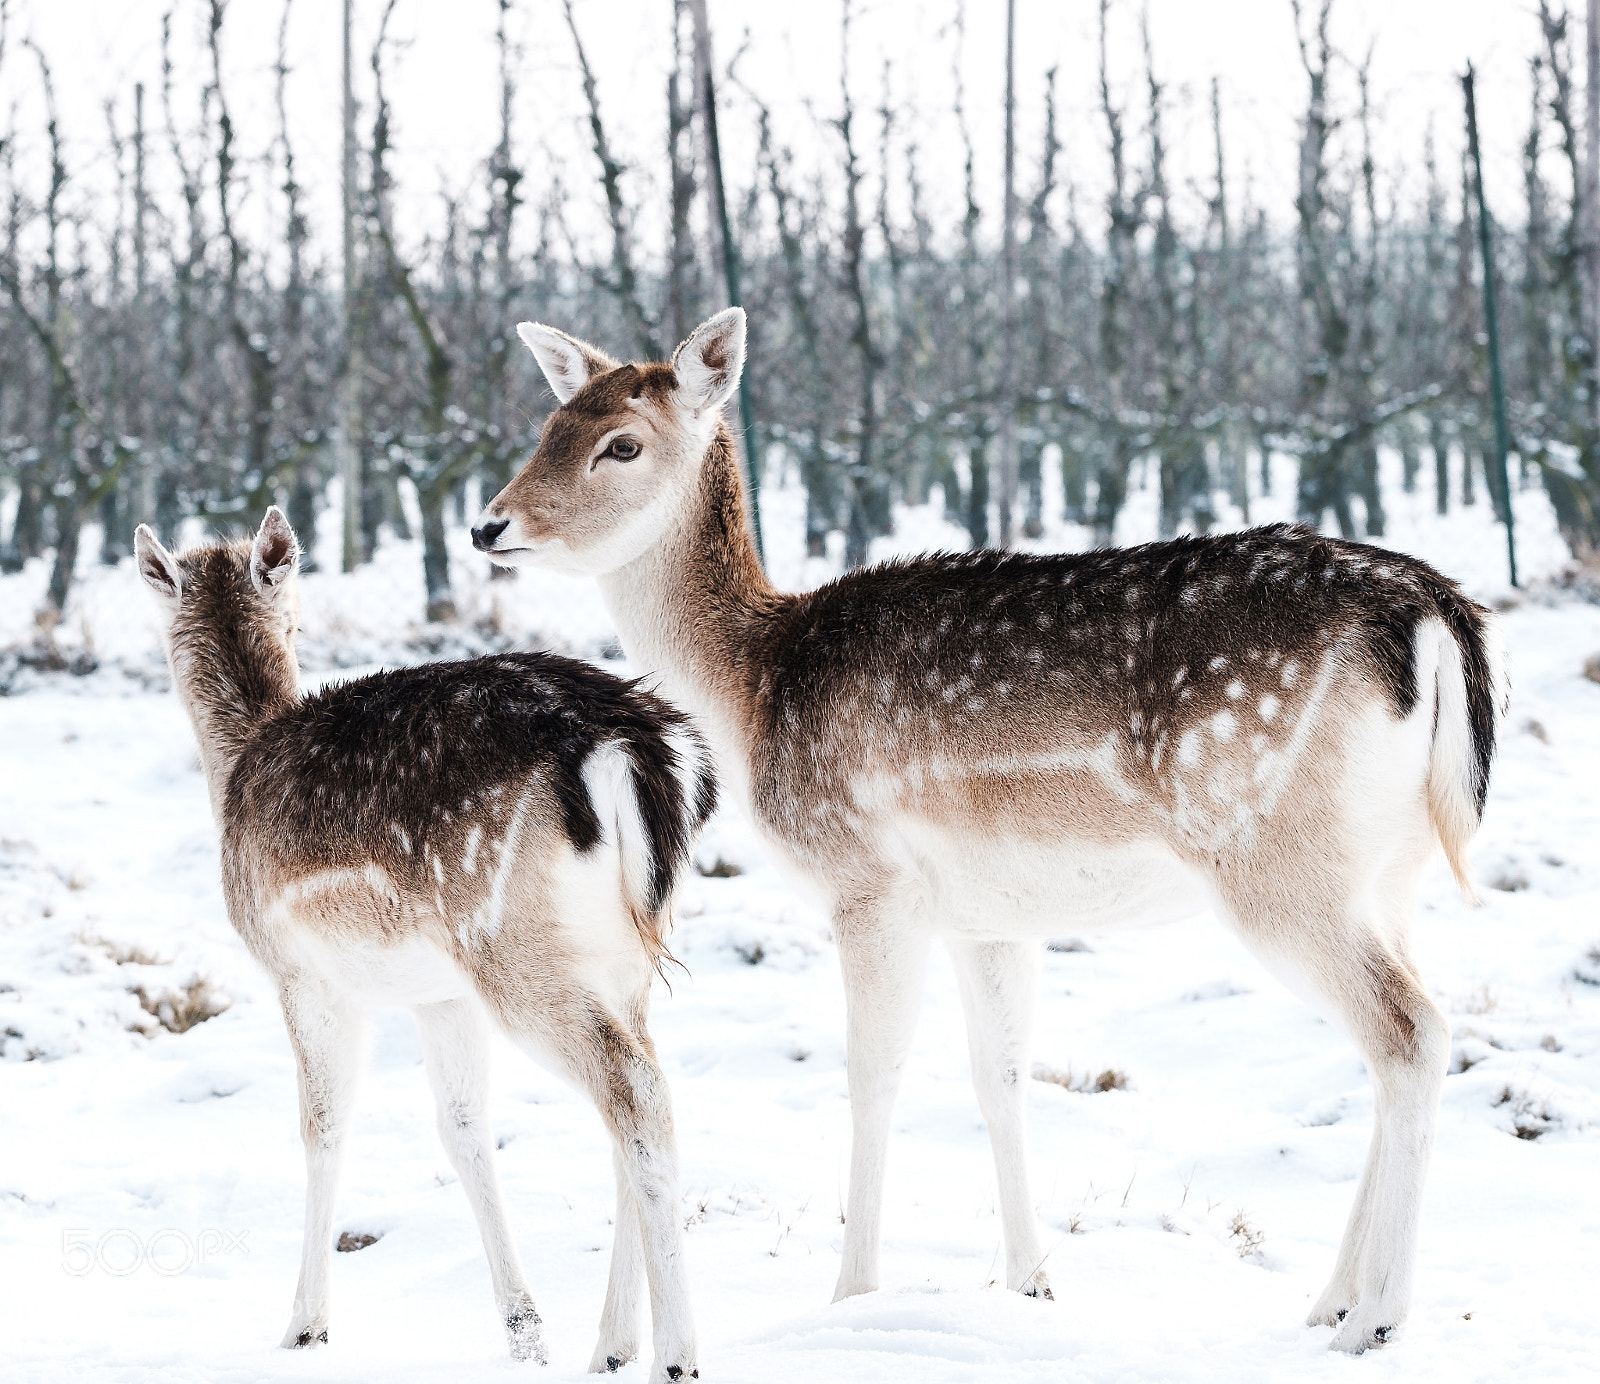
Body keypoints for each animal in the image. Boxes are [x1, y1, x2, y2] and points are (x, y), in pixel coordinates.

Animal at [133, 507, 714, 1382]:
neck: (234, 771)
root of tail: (634, 751)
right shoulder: (441, 994)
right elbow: (462, 1126)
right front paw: (524, 1330)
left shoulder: (300, 973)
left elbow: (323, 1127)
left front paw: (304, 1327)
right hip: (623, 955)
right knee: (640, 1090)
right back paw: (609, 1344)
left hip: (512, 947)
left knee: (634, 1092)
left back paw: (675, 1357)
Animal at [471, 307, 1509, 1354]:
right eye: (550, 423)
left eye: (621, 443)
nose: (489, 525)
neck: (754, 690)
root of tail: (1435, 616)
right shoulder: (986, 911)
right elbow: (999, 1075)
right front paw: (1030, 1283)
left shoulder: (868, 879)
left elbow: (874, 1074)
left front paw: (852, 1292)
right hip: (1387, 867)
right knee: (1398, 1032)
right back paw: (1330, 1296)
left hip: (1277, 860)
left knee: (1411, 1031)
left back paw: (1373, 1318)